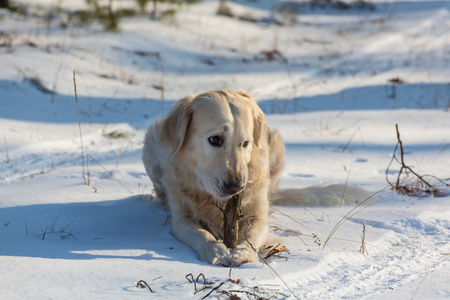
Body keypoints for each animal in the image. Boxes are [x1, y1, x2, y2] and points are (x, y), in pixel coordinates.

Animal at [144, 90, 370, 266]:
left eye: (246, 143)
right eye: (215, 139)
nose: (236, 187)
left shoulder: (258, 215)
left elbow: (253, 233)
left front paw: (245, 252)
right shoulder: (180, 217)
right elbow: (201, 233)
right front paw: (215, 250)